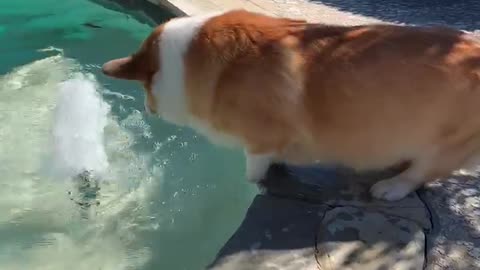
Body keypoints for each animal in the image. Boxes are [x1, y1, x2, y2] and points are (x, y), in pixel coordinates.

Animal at [103, 10, 480, 200]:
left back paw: (391, 186)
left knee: (421, 173)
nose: (148, 109)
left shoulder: (259, 141)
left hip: (445, 143)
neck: (185, 61)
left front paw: (254, 184)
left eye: (145, 86)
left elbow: (253, 170)